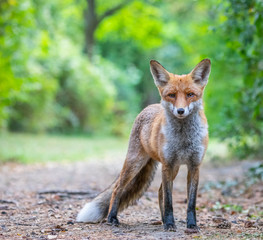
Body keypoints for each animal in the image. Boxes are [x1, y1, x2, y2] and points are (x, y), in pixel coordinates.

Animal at [76, 57, 212, 231]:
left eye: (190, 94)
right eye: (171, 95)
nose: (181, 111)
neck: (183, 139)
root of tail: (149, 106)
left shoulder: (194, 165)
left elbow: (191, 202)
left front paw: (191, 224)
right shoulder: (167, 164)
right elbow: (169, 201)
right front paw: (170, 224)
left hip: (172, 169)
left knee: (160, 191)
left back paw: (162, 220)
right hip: (135, 163)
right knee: (117, 188)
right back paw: (112, 218)